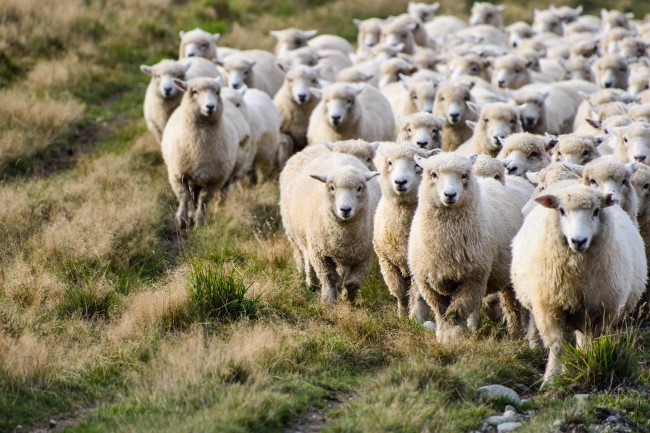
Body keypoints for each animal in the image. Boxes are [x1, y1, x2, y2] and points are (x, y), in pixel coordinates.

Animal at [159, 78, 243, 228]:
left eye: (217, 92)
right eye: (194, 91)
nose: (210, 106)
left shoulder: (216, 179)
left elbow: (204, 200)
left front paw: (199, 222)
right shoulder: (178, 174)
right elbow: (184, 196)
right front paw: (182, 220)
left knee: (209, 195)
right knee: (192, 195)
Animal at [280, 152, 380, 304]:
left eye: (359, 188)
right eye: (332, 188)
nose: (345, 209)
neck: (343, 232)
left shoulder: (365, 255)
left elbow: (353, 282)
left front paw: (348, 299)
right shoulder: (319, 253)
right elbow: (328, 277)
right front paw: (328, 300)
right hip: (304, 239)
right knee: (308, 260)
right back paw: (312, 284)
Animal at [372, 143, 432, 316]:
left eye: (417, 166)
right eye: (390, 162)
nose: (400, 181)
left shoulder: (419, 267)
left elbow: (417, 297)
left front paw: (416, 318)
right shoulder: (386, 262)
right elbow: (400, 293)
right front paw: (402, 315)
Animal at [408, 152, 524, 340]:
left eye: (463, 175)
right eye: (433, 174)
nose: (450, 194)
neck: (447, 242)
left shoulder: (473, 279)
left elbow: (455, 313)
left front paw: (453, 338)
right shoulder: (429, 283)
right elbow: (442, 312)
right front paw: (444, 337)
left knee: (511, 304)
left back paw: (516, 333)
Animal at [512, 182, 644, 382]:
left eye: (596, 211)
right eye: (561, 210)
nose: (578, 240)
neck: (577, 277)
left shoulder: (601, 312)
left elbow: (592, 342)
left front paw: (587, 363)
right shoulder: (549, 308)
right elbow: (557, 347)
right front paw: (551, 379)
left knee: (583, 338)